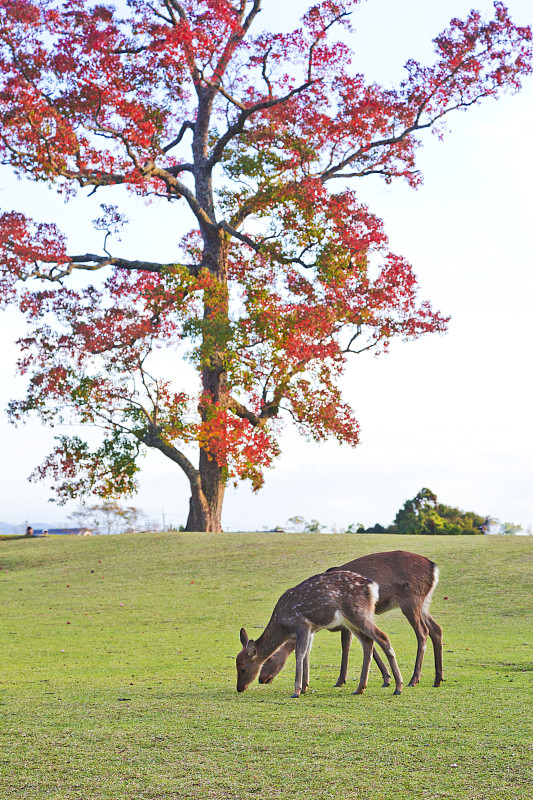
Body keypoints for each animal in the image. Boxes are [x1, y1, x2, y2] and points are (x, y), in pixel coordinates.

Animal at [235, 568, 402, 700]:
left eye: (243, 668)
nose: (239, 688)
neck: (282, 623)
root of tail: (373, 587)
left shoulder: (301, 624)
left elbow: (299, 653)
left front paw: (296, 691)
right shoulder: (311, 629)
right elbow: (307, 653)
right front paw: (304, 687)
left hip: (358, 613)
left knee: (382, 637)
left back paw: (398, 687)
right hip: (349, 620)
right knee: (367, 642)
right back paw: (360, 688)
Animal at [258, 552, 440, 688]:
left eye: (270, 658)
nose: (261, 679)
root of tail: (434, 568)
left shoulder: (346, 621)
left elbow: (348, 646)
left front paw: (341, 680)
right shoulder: (350, 621)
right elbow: (368, 646)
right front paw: (386, 678)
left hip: (411, 601)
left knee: (422, 632)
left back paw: (414, 679)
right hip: (424, 603)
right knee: (436, 629)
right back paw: (438, 678)